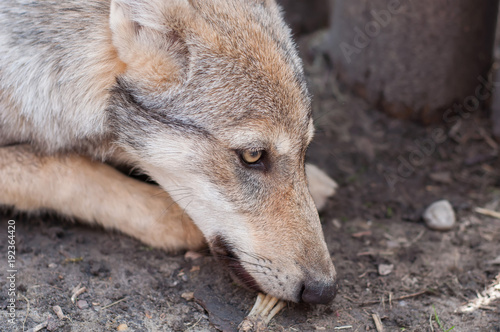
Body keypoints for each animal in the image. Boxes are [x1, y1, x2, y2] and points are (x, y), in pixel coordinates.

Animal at [0, 0, 338, 304]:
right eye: (253, 155)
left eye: (306, 149)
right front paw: (177, 218)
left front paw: (315, 182)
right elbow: (68, 168)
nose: (324, 291)